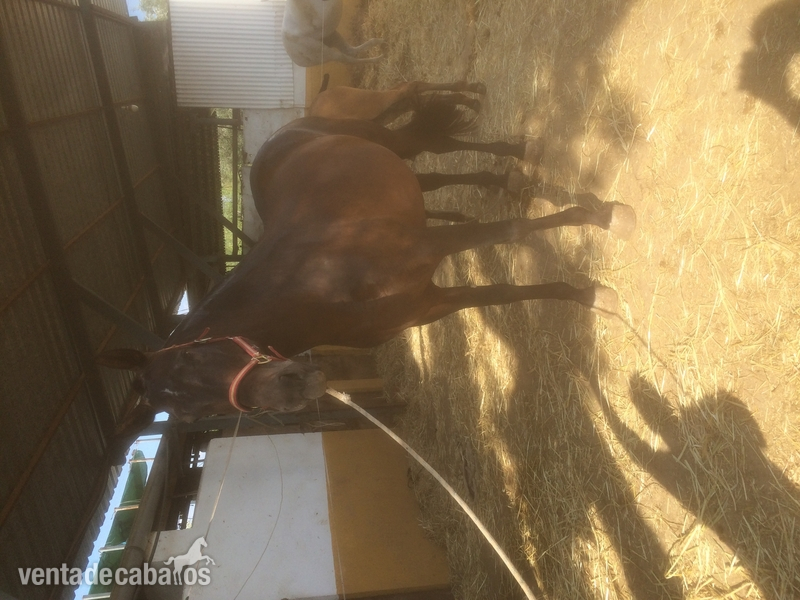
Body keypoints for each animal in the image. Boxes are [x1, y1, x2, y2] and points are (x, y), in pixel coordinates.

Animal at [99, 106, 636, 453]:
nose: (291, 387)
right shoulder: (428, 304)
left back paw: (523, 152)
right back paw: (509, 179)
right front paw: (590, 294)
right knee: (435, 178)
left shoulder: (427, 249)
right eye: (194, 417)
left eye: (192, 357)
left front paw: (604, 218)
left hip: (389, 141)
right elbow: (502, 293)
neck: (309, 282)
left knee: (437, 145)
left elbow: (512, 232)